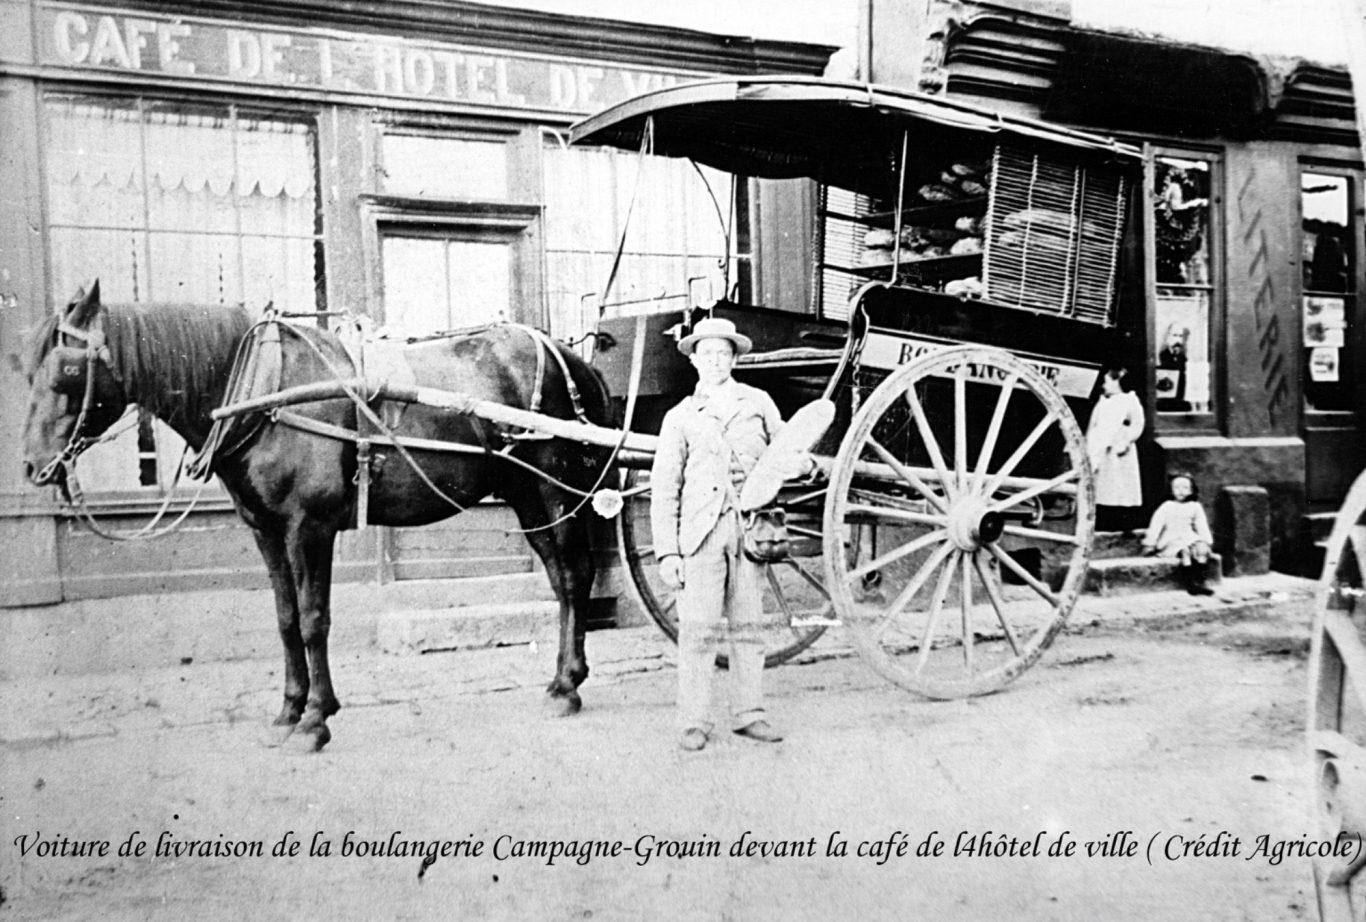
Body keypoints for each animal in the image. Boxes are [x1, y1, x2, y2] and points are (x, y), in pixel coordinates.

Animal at [21, 281, 614, 748]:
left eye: (67, 372)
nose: (31, 466)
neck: (262, 391)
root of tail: (573, 359)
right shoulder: (266, 531)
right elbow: (285, 620)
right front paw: (288, 710)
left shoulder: (309, 527)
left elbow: (313, 619)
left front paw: (314, 720)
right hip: (528, 497)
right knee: (562, 581)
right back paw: (563, 681)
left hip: (554, 490)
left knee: (573, 576)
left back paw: (567, 687)